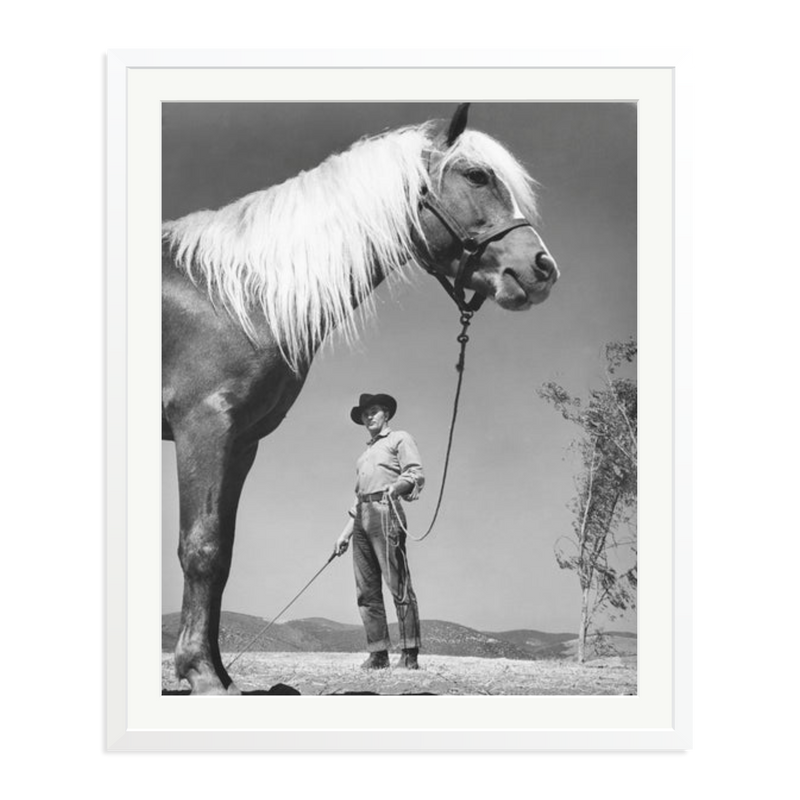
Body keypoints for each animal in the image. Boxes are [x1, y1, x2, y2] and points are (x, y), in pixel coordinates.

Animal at [162, 104, 559, 694]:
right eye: (476, 175)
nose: (542, 269)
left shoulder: (241, 442)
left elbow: (224, 552)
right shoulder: (202, 426)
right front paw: (201, 674)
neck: (231, 294)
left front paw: (218, 672)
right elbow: (203, 548)